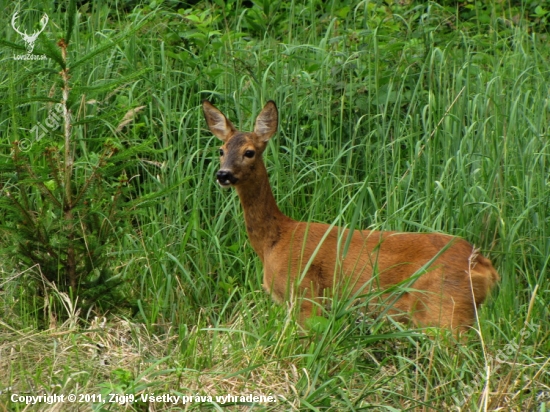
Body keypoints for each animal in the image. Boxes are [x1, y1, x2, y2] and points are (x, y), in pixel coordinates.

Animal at [205, 100, 502, 332]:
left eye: (249, 152)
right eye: (221, 150)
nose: (223, 174)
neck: (274, 240)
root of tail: (485, 266)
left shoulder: (304, 294)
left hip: (445, 308)